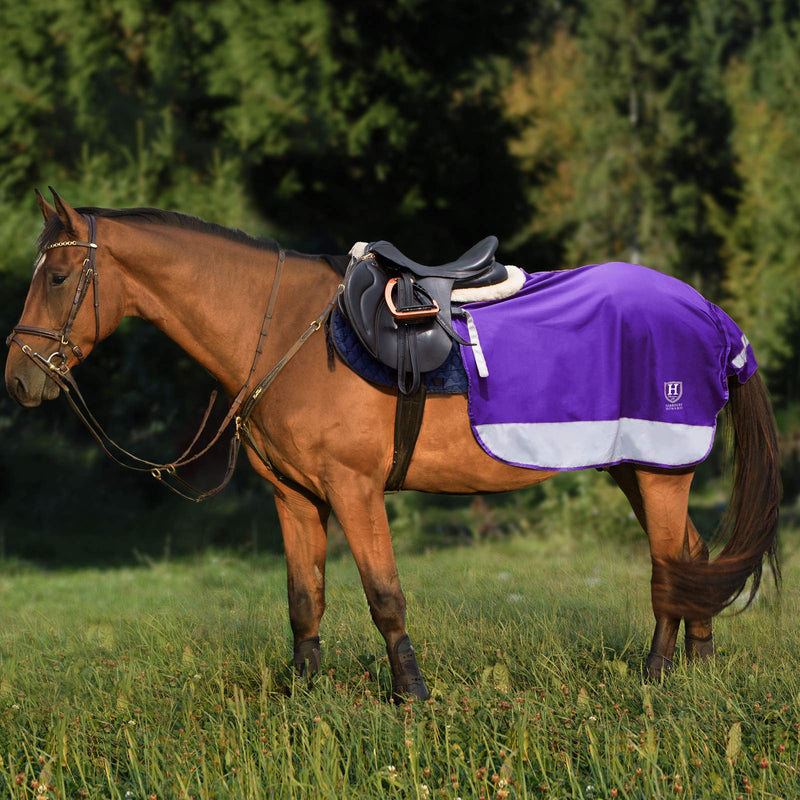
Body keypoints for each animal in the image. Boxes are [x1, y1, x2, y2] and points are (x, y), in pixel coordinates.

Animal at [5, 190, 780, 700]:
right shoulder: (295, 497)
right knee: (692, 559)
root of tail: (709, 313)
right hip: (635, 467)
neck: (282, 331)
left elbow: (384, 596)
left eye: (60, 277)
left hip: (659, 468)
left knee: (671, 566)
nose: (18, 378)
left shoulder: (354, 490)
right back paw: (696, 671)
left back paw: (657, 677)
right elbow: (305, 598)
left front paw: (410, 693)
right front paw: (306, 695)